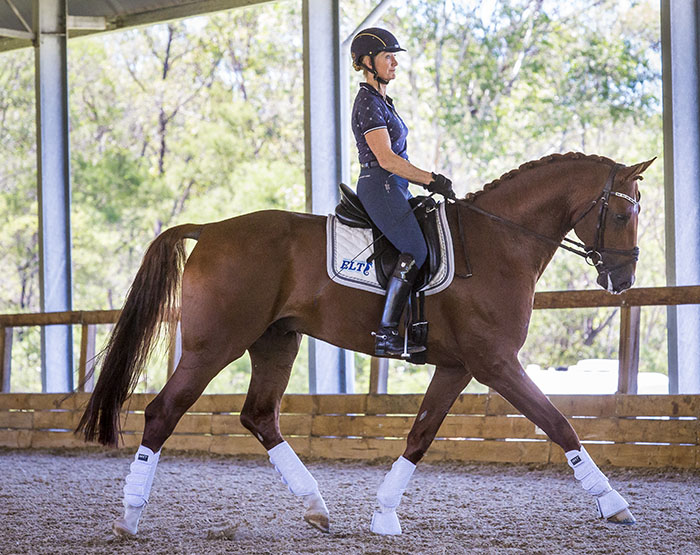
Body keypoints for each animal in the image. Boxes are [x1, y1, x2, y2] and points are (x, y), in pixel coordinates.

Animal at [77, 152, 655, 536]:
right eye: (622, 214)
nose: (623, 279)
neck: (500, 242)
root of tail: (212, 229)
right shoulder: (496, 363)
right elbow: (559, 423)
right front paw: (613, 503)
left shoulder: (458, 367)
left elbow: (420, 436)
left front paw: (384, 514)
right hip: (213, 345)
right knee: (163, 412)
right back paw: (130, 516)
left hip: (275, 342)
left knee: (260, 415)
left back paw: (315, 506)